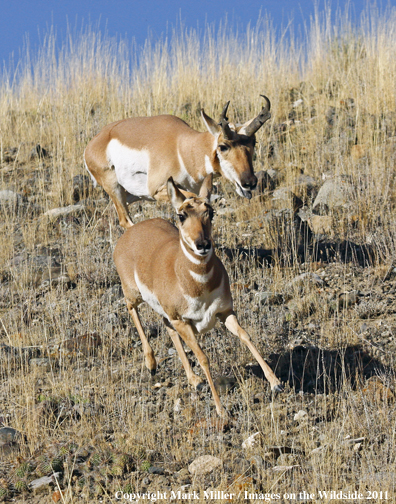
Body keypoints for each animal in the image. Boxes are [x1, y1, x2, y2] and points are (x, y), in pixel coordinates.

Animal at [84, 95, 270, 228]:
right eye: (223, 146)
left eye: (253, 142)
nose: (249, 182)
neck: (182, 146)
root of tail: (94, 142)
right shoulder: (158, 190)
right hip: (115, 188)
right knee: (125, 221)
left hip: (129, 195)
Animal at [113, 173, 284, 418]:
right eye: (181, 215)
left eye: (210, 212)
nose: (202, 244)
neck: (197, 284)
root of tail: (132, 232)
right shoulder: (184, 321)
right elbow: (203, 357)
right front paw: (221, 410)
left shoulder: (224, 312)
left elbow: (245, 336)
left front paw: (275, 383)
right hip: (135, 296)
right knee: (131, 309)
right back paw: (151, 364)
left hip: (167, 314)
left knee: (167, 329)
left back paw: (195, 381)